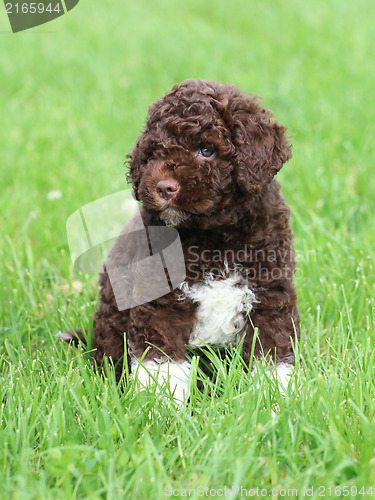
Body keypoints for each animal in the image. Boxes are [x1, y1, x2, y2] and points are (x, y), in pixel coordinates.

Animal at [64, 80, 300, 400]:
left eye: (206, 150)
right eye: (154, 154)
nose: (164, 186)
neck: (214, 235)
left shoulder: (270, 292)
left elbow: (273, 351)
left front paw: (276, 399)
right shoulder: (158, 296)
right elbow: (161, 361)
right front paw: (160, 405)